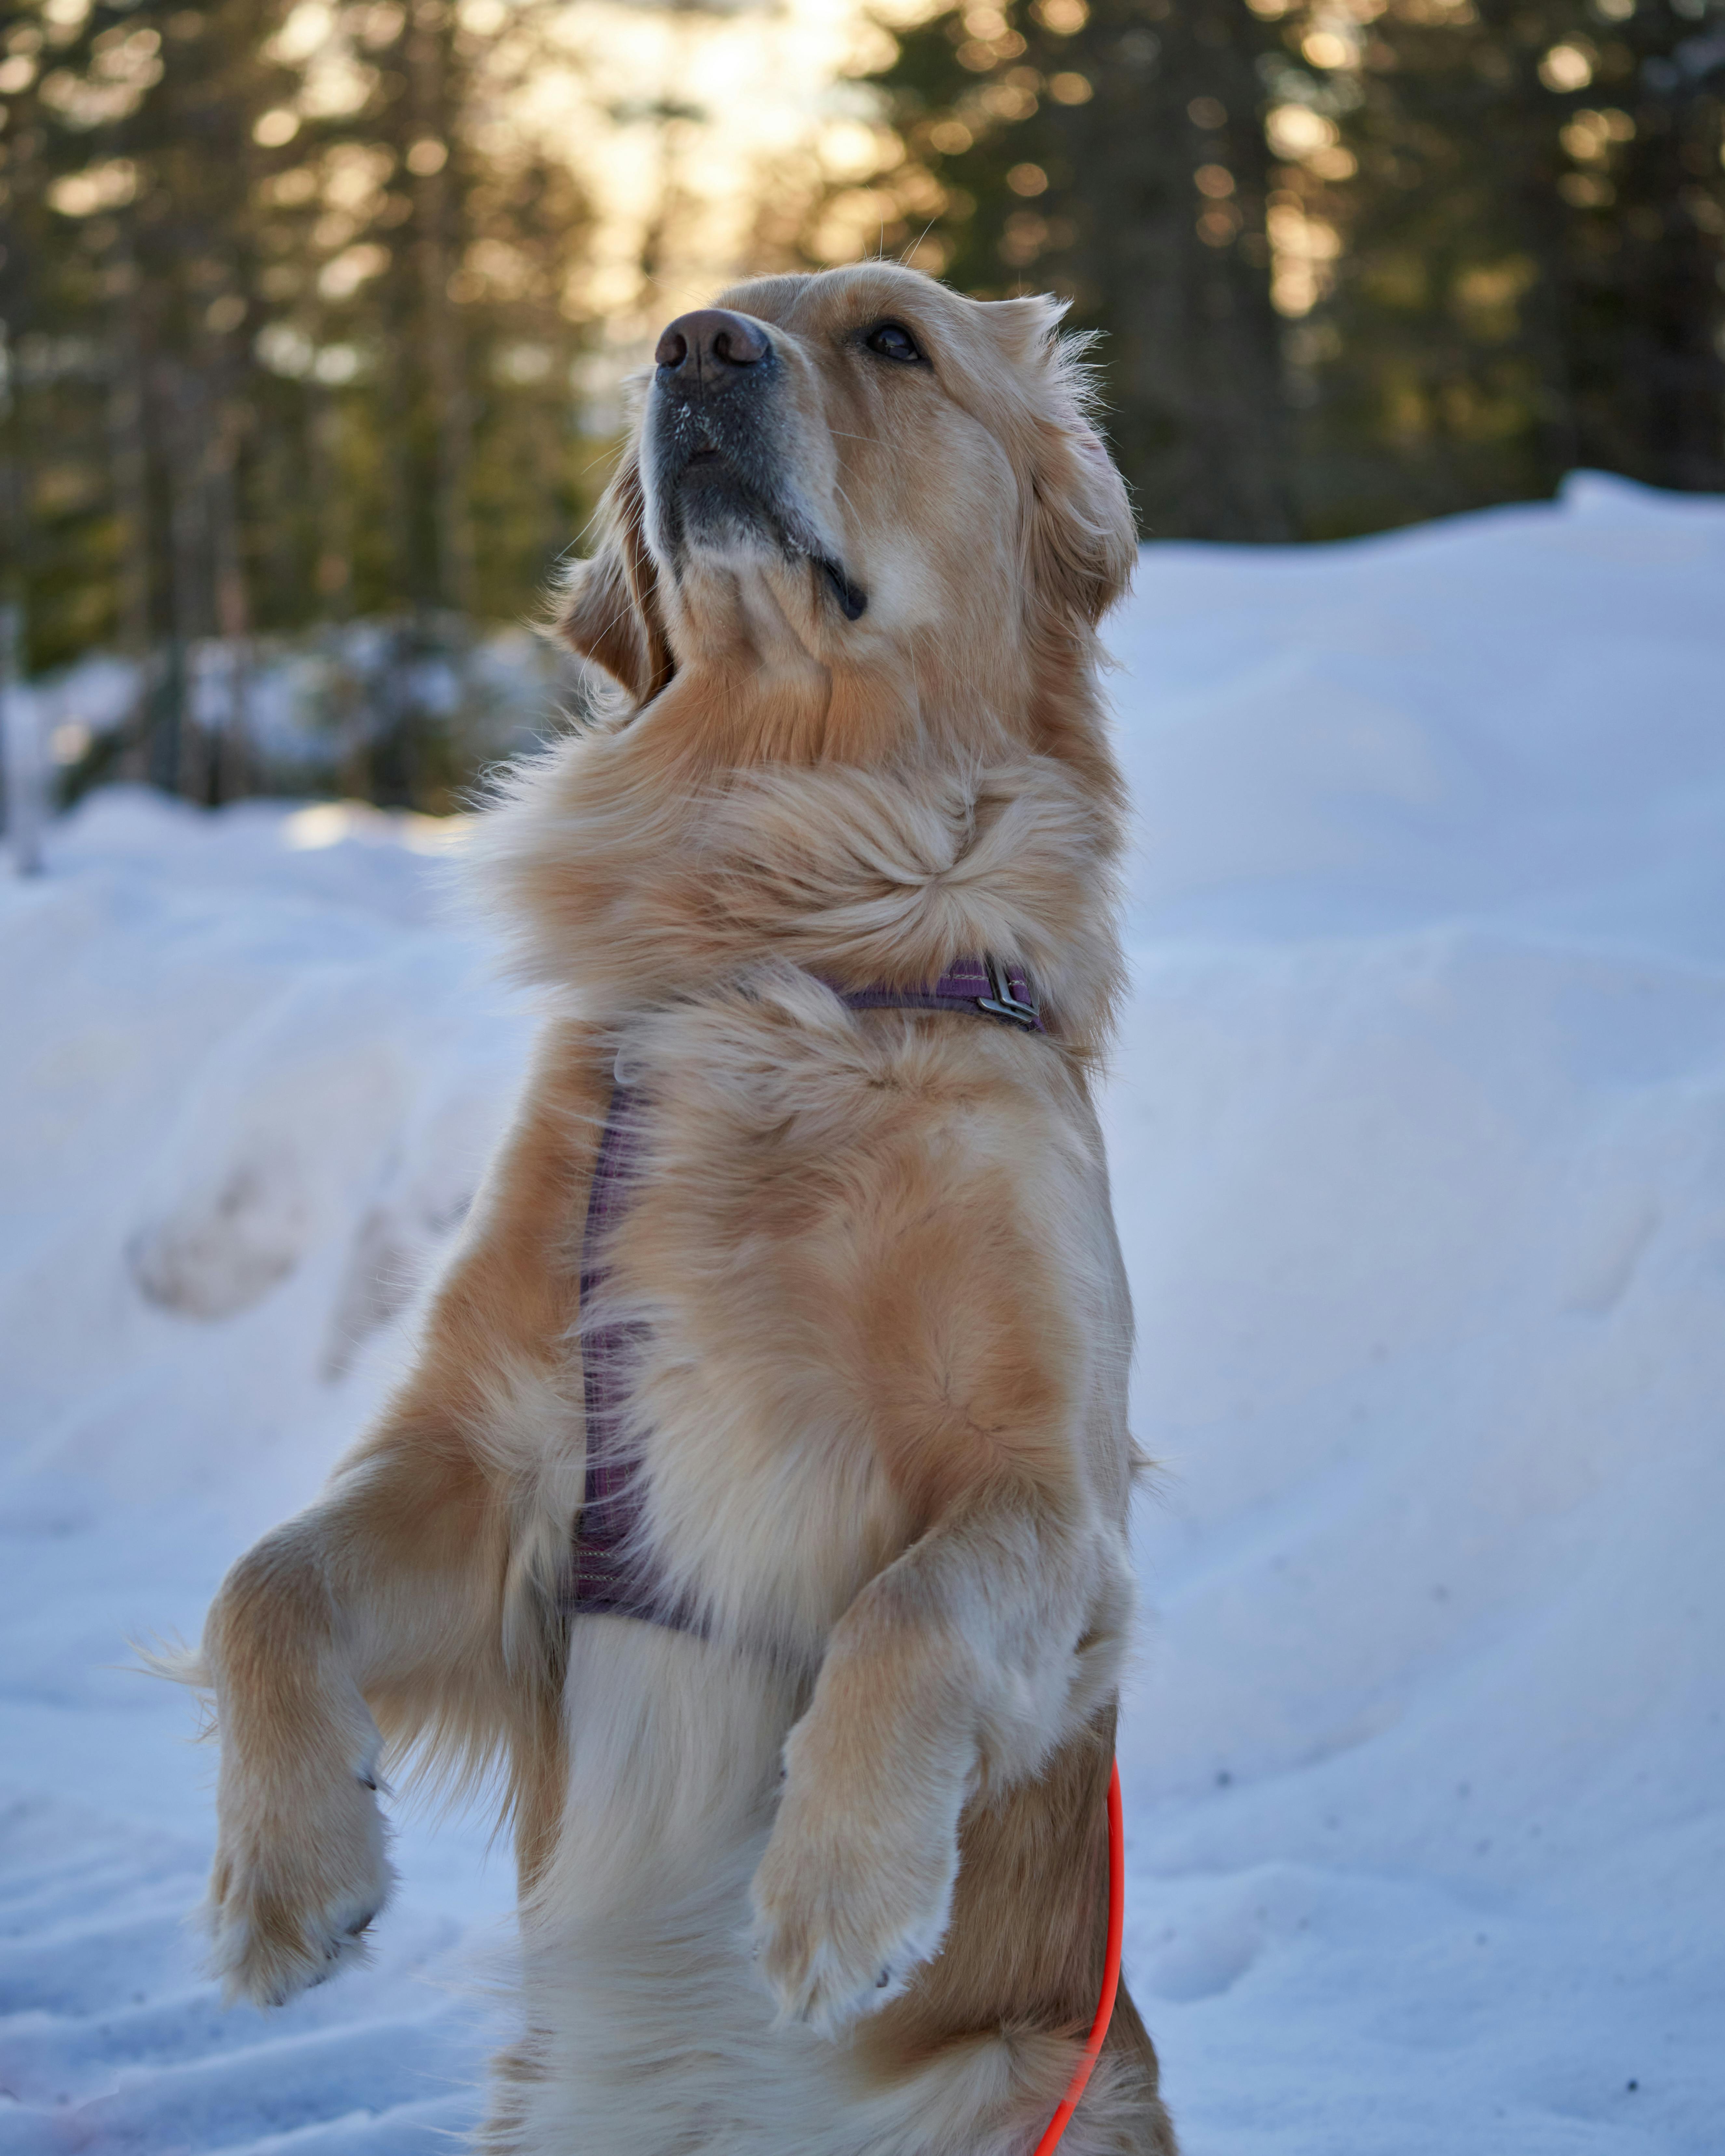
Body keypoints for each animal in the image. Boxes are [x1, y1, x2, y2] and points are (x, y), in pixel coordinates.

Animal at [175, 269, 1182, 2156]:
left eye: (891, 342)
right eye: (686, 320)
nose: (696, 349)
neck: (796, 911)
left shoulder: (1048, 1488)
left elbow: (908, 1606)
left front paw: (840, 1889)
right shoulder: (508, 1474)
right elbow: (262, 1578)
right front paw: (289, 1871)